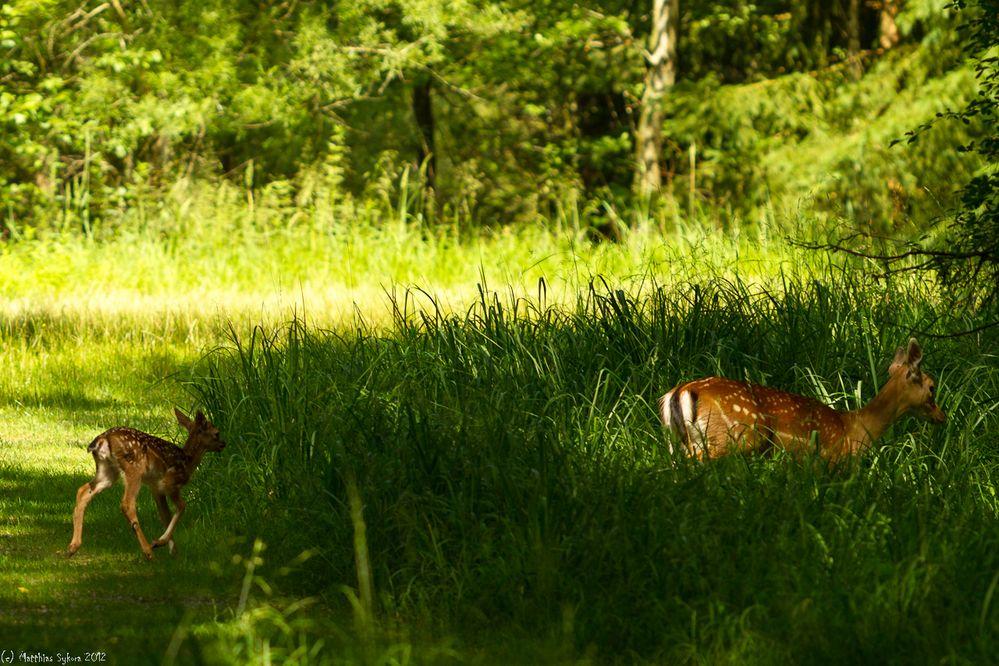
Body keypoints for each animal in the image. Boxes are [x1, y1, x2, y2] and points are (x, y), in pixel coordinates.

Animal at [68, 408, 227, 556]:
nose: (223, 444)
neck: (187, 461)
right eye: (216, 433)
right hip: (134, 469)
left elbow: (165, 515)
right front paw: (160, 543)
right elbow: (182, 506)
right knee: (127, 503)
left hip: (107, 471)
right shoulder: (170, 483)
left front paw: (172, 551)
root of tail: (103, 439)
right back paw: (148, 552)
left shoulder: (156, 489)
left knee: (82, 491)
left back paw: (72, 547)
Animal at [660, 338, 948, 462]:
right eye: (932, 387)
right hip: (730, 437)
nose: (942, 416)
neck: (855, 430)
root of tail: (680, 391)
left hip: (678, 442)